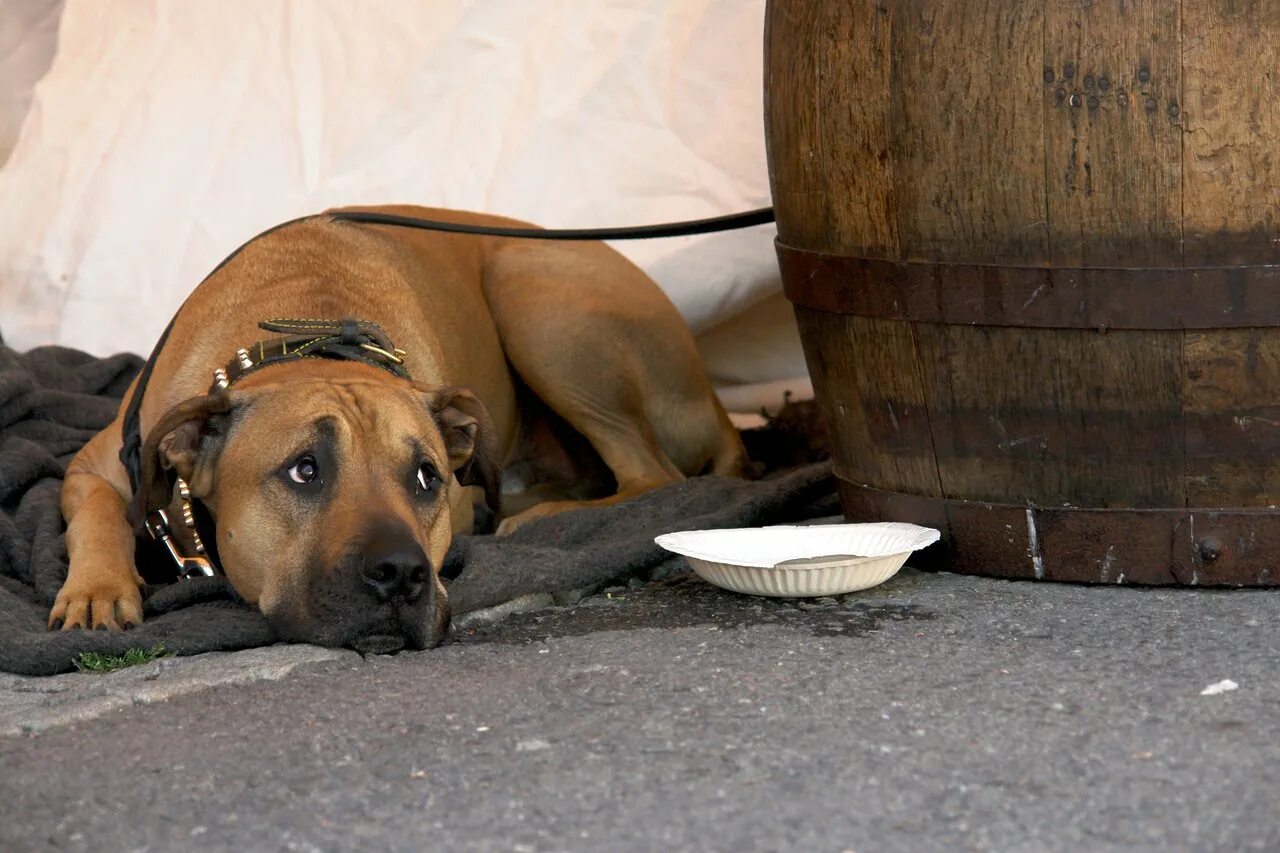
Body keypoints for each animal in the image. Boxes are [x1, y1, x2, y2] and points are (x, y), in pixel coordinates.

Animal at [52, 206, 747, 650]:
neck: (310, 333)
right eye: (304, 469)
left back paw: (541, 514)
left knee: (653, 474)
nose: (401, 574)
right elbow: (98, 511)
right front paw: (97, 589)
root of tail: (718, 406)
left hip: (535, 299)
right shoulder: (93, 464)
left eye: (426, 477)